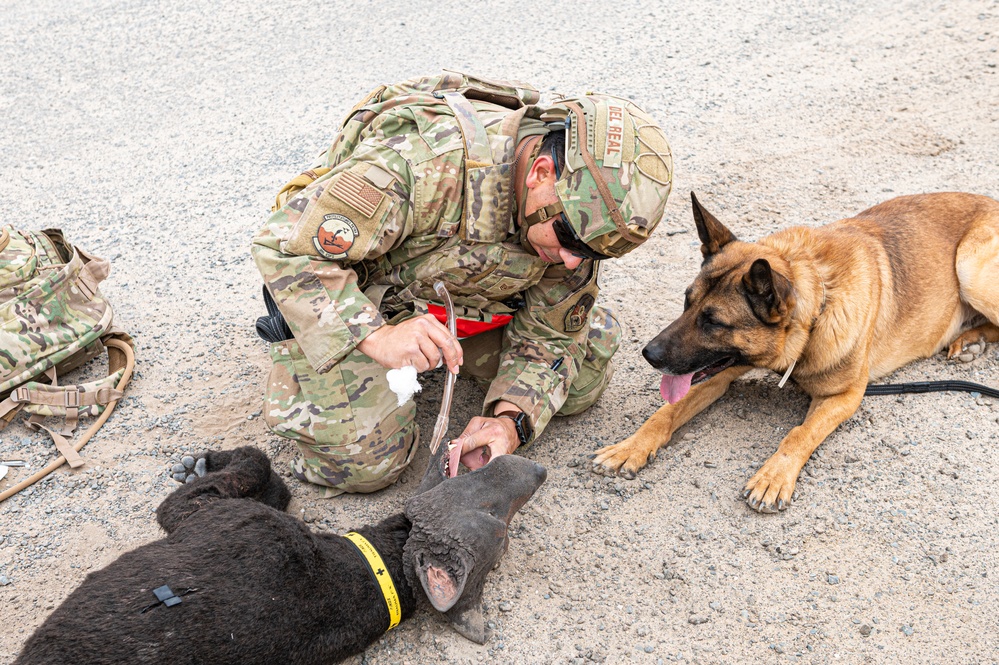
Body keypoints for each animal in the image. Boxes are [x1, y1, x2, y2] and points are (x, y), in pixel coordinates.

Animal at [15, 444, 548, 660]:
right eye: (499, 518)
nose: (540, 470)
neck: (372, 570)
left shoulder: (204, 515)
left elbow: (253, 461)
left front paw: (206, 464)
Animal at [592, 192, 999, 512]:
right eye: (686, 303)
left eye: (713, 322)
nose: (648, 353)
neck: (818, 307)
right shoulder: (717, 373)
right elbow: (665, 412)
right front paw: (630, 447)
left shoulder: (844, 396)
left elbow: (799, 434)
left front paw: (773, 476)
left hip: (970, 271)